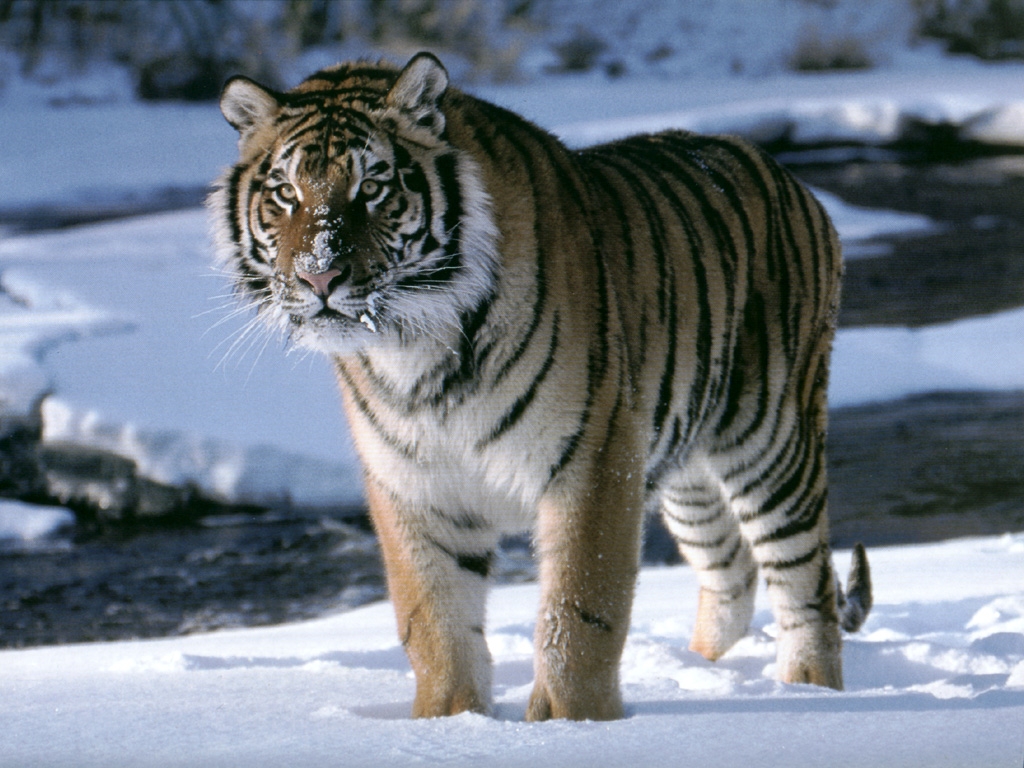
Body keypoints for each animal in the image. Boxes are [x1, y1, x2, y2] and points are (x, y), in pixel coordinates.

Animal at [209, 52, 872, 721]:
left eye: (372, 188)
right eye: (286, 193)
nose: (318, 277)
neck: (417, 348)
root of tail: (789, 177)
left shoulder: (594, 458)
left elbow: (578, 612)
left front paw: (570, 724)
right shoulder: (414, 483)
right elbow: (435, 622)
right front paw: (449, 722)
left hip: (769, 438)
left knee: (805, 580)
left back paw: (807, 691)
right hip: (686, 469)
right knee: (730, 570)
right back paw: (706, 670)